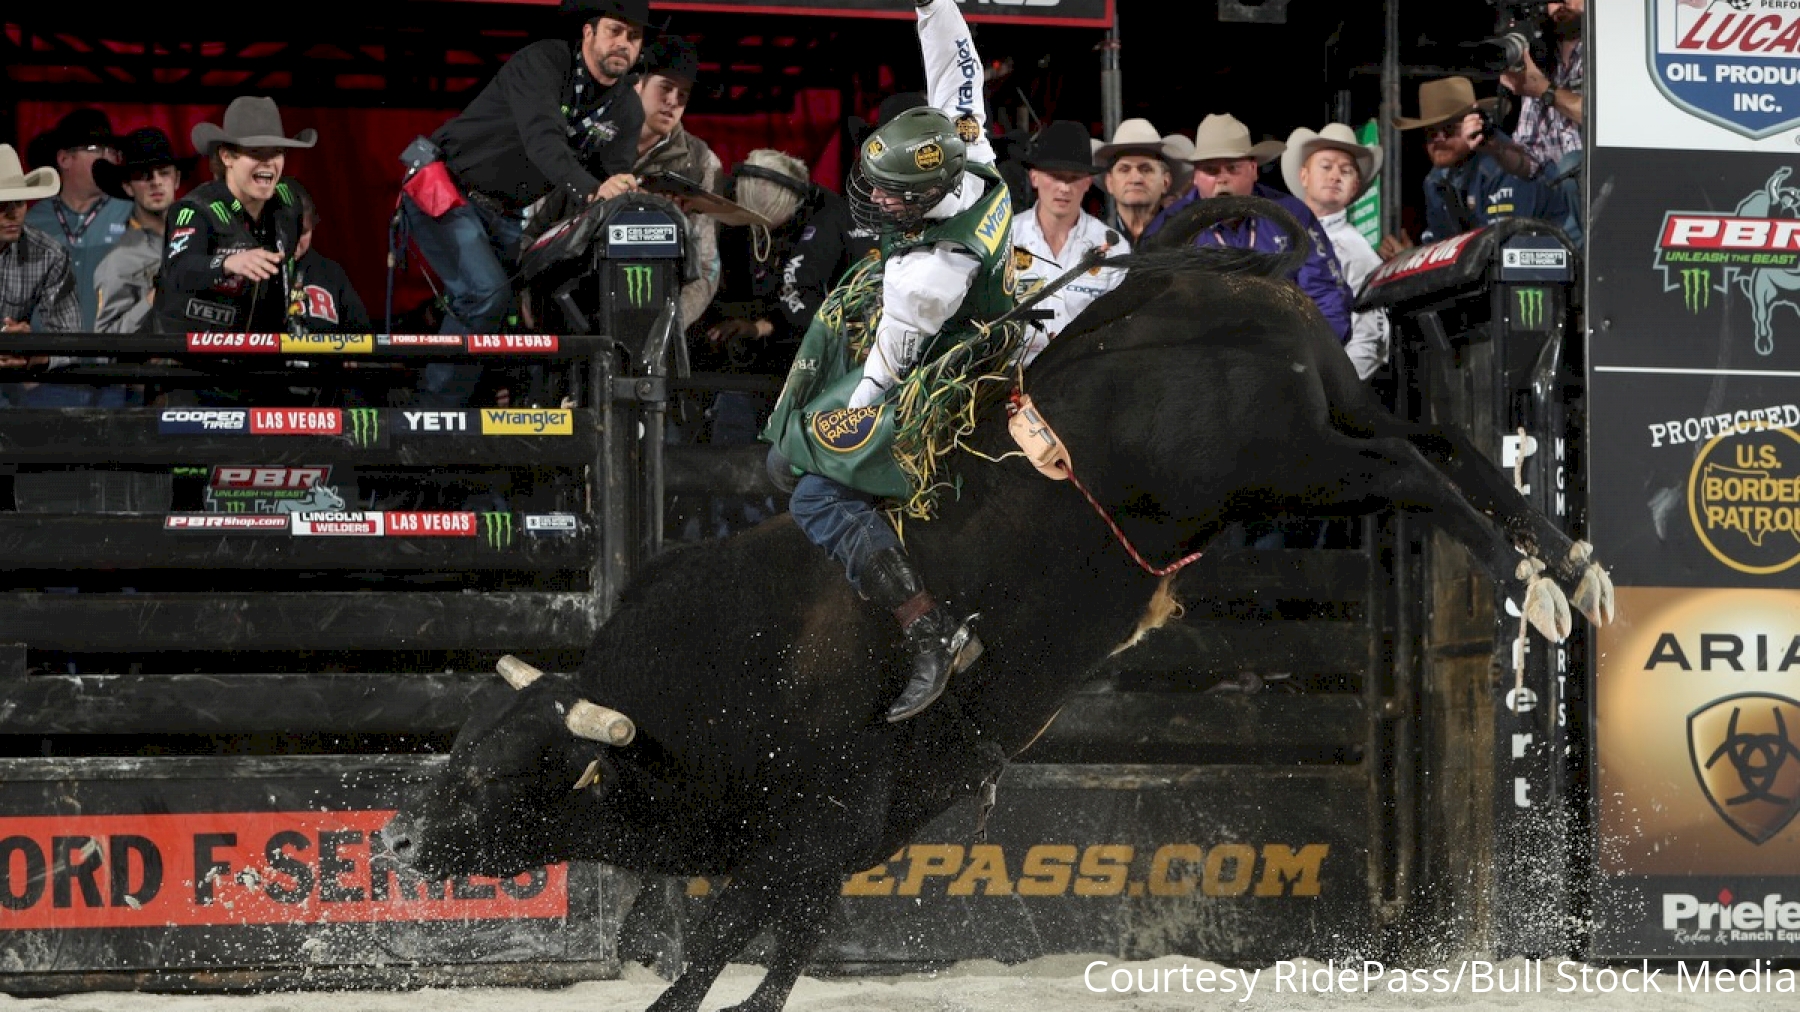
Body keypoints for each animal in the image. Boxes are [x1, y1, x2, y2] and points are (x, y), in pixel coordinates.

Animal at [383, 197, 1620, 1008]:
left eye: (499, 772)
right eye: (458, 747)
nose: (396, 838)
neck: (707, 682)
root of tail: (1201, 277)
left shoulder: (812, 823)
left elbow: (718, 947)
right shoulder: (837, 846)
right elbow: (775, 956)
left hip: (1298, 463)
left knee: (1418, 469)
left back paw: (1540, 585)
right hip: (1333, 419)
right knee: (1443, 440)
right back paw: (1570, 564)